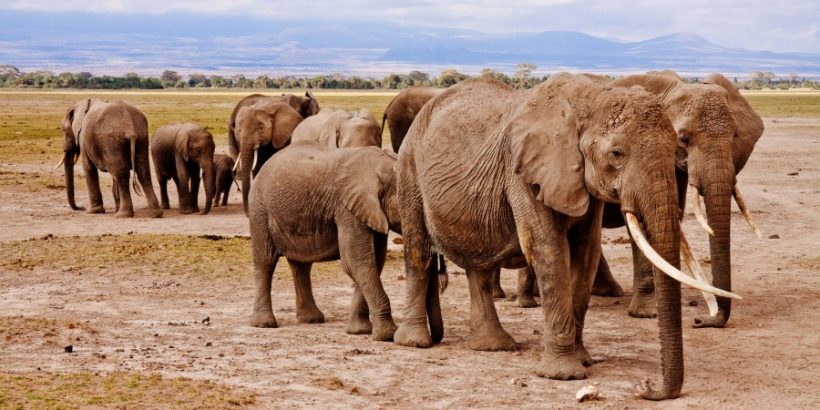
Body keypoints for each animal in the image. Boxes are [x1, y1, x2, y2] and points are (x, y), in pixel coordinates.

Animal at [250, 143, 404, 342]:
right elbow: (356, 262)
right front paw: (388, 335)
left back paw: (311, 320)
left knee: (301, 266)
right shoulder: (347, 209)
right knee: (265, 261)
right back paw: (264, 324)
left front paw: (359, 331)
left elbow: (373, 262)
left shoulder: (370, 211)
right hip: (259, 209)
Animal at [394, 74, 740, 400]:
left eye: (675, 147)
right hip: (409, 169)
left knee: (477, 265)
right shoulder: (524, 174)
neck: (589, 99)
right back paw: (415, 342)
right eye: (616, 153)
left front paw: (584, 359)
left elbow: (585, 253)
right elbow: (549, 251)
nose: (647, 386)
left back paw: (492, 346)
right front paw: (564, 374)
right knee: (418, 251)